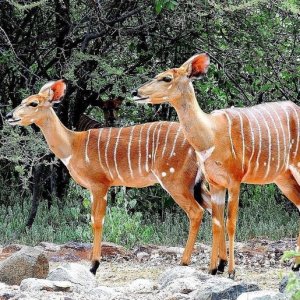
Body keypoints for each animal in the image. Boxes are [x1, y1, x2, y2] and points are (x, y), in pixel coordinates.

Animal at [4, 79, 211, 274]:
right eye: (22, 101)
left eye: (33, 103)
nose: (9, 116)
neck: (73, 145)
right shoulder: (93, 188)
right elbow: (92, 219)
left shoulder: (100, 184)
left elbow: (98, 221)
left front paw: (94, 265)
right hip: (197, 185)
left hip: (175, 182)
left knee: (196, 212)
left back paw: (184, 262)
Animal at [133, 53, 300, 276]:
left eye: (166, 78)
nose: (135, 92)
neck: (211, 134)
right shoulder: (215, 182)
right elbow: (216, 223)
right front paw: (213, 268)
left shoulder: (235, 180)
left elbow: (231, 223)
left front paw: (231, 270)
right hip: (282, 177)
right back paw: (295, 264)